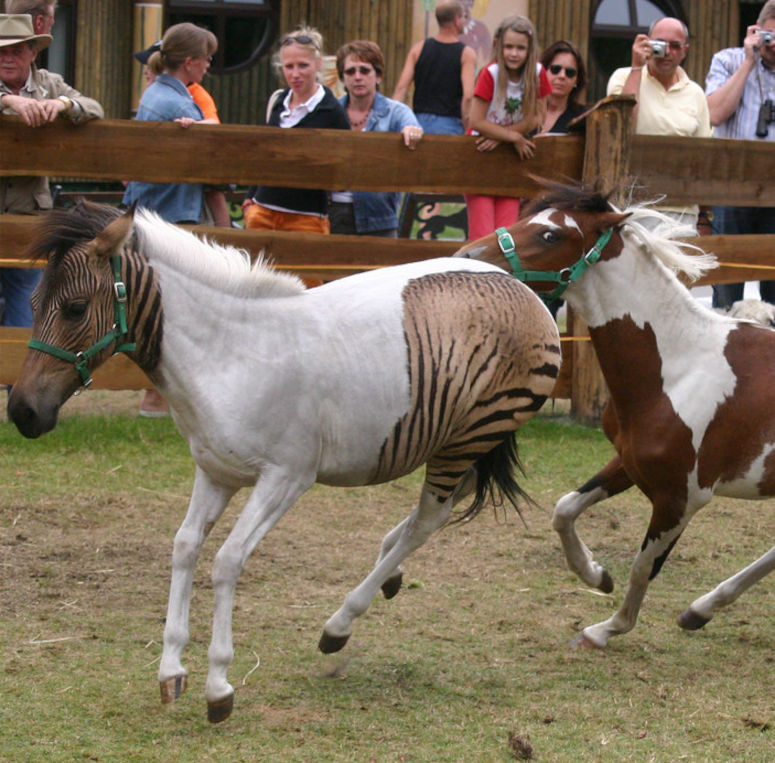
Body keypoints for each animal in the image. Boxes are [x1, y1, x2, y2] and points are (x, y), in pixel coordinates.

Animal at [9, 201, 560, 724]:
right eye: (32, 305)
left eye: (75, 309)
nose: (21, 412)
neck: (231, 357)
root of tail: (520, 288)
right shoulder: (215, 471)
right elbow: (185, 548)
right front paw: (170, 670)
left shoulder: (286, 478)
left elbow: (227, 560)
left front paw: (218, 685)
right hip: (453, 441)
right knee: (439, 510)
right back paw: (385, 575)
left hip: (471, 436)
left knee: (428, 519)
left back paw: (340, 623)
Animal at [454, 184, 775, 652]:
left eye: (550, 234)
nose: (467, 256)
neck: (679, 367)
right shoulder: (629, 463)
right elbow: (565, 509)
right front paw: (596, 575)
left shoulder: (681, 498)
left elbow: (643, 567)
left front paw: (605, 629)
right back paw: (701, 609)